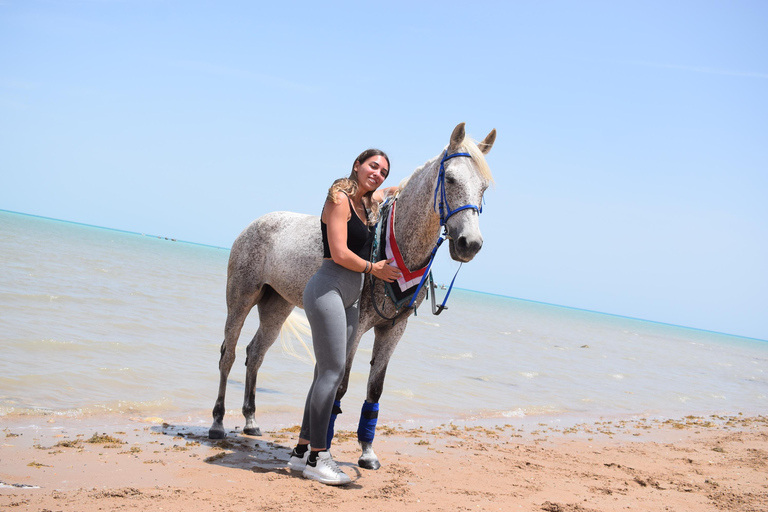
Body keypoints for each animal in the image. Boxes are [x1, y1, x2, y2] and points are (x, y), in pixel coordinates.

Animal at [209, 122, 496, 470]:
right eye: (451, 178)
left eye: (484, 188)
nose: (470, 243)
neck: (397, 242)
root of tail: (257, 222)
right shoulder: (355, 327)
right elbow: (341, 385)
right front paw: (321, 449)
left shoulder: (393, 330)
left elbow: (375, 389)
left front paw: (367, 452)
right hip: (241, 299)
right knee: (229, 354)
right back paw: (218, 423)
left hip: (277, 306)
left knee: (255, 354)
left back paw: (250, 421)